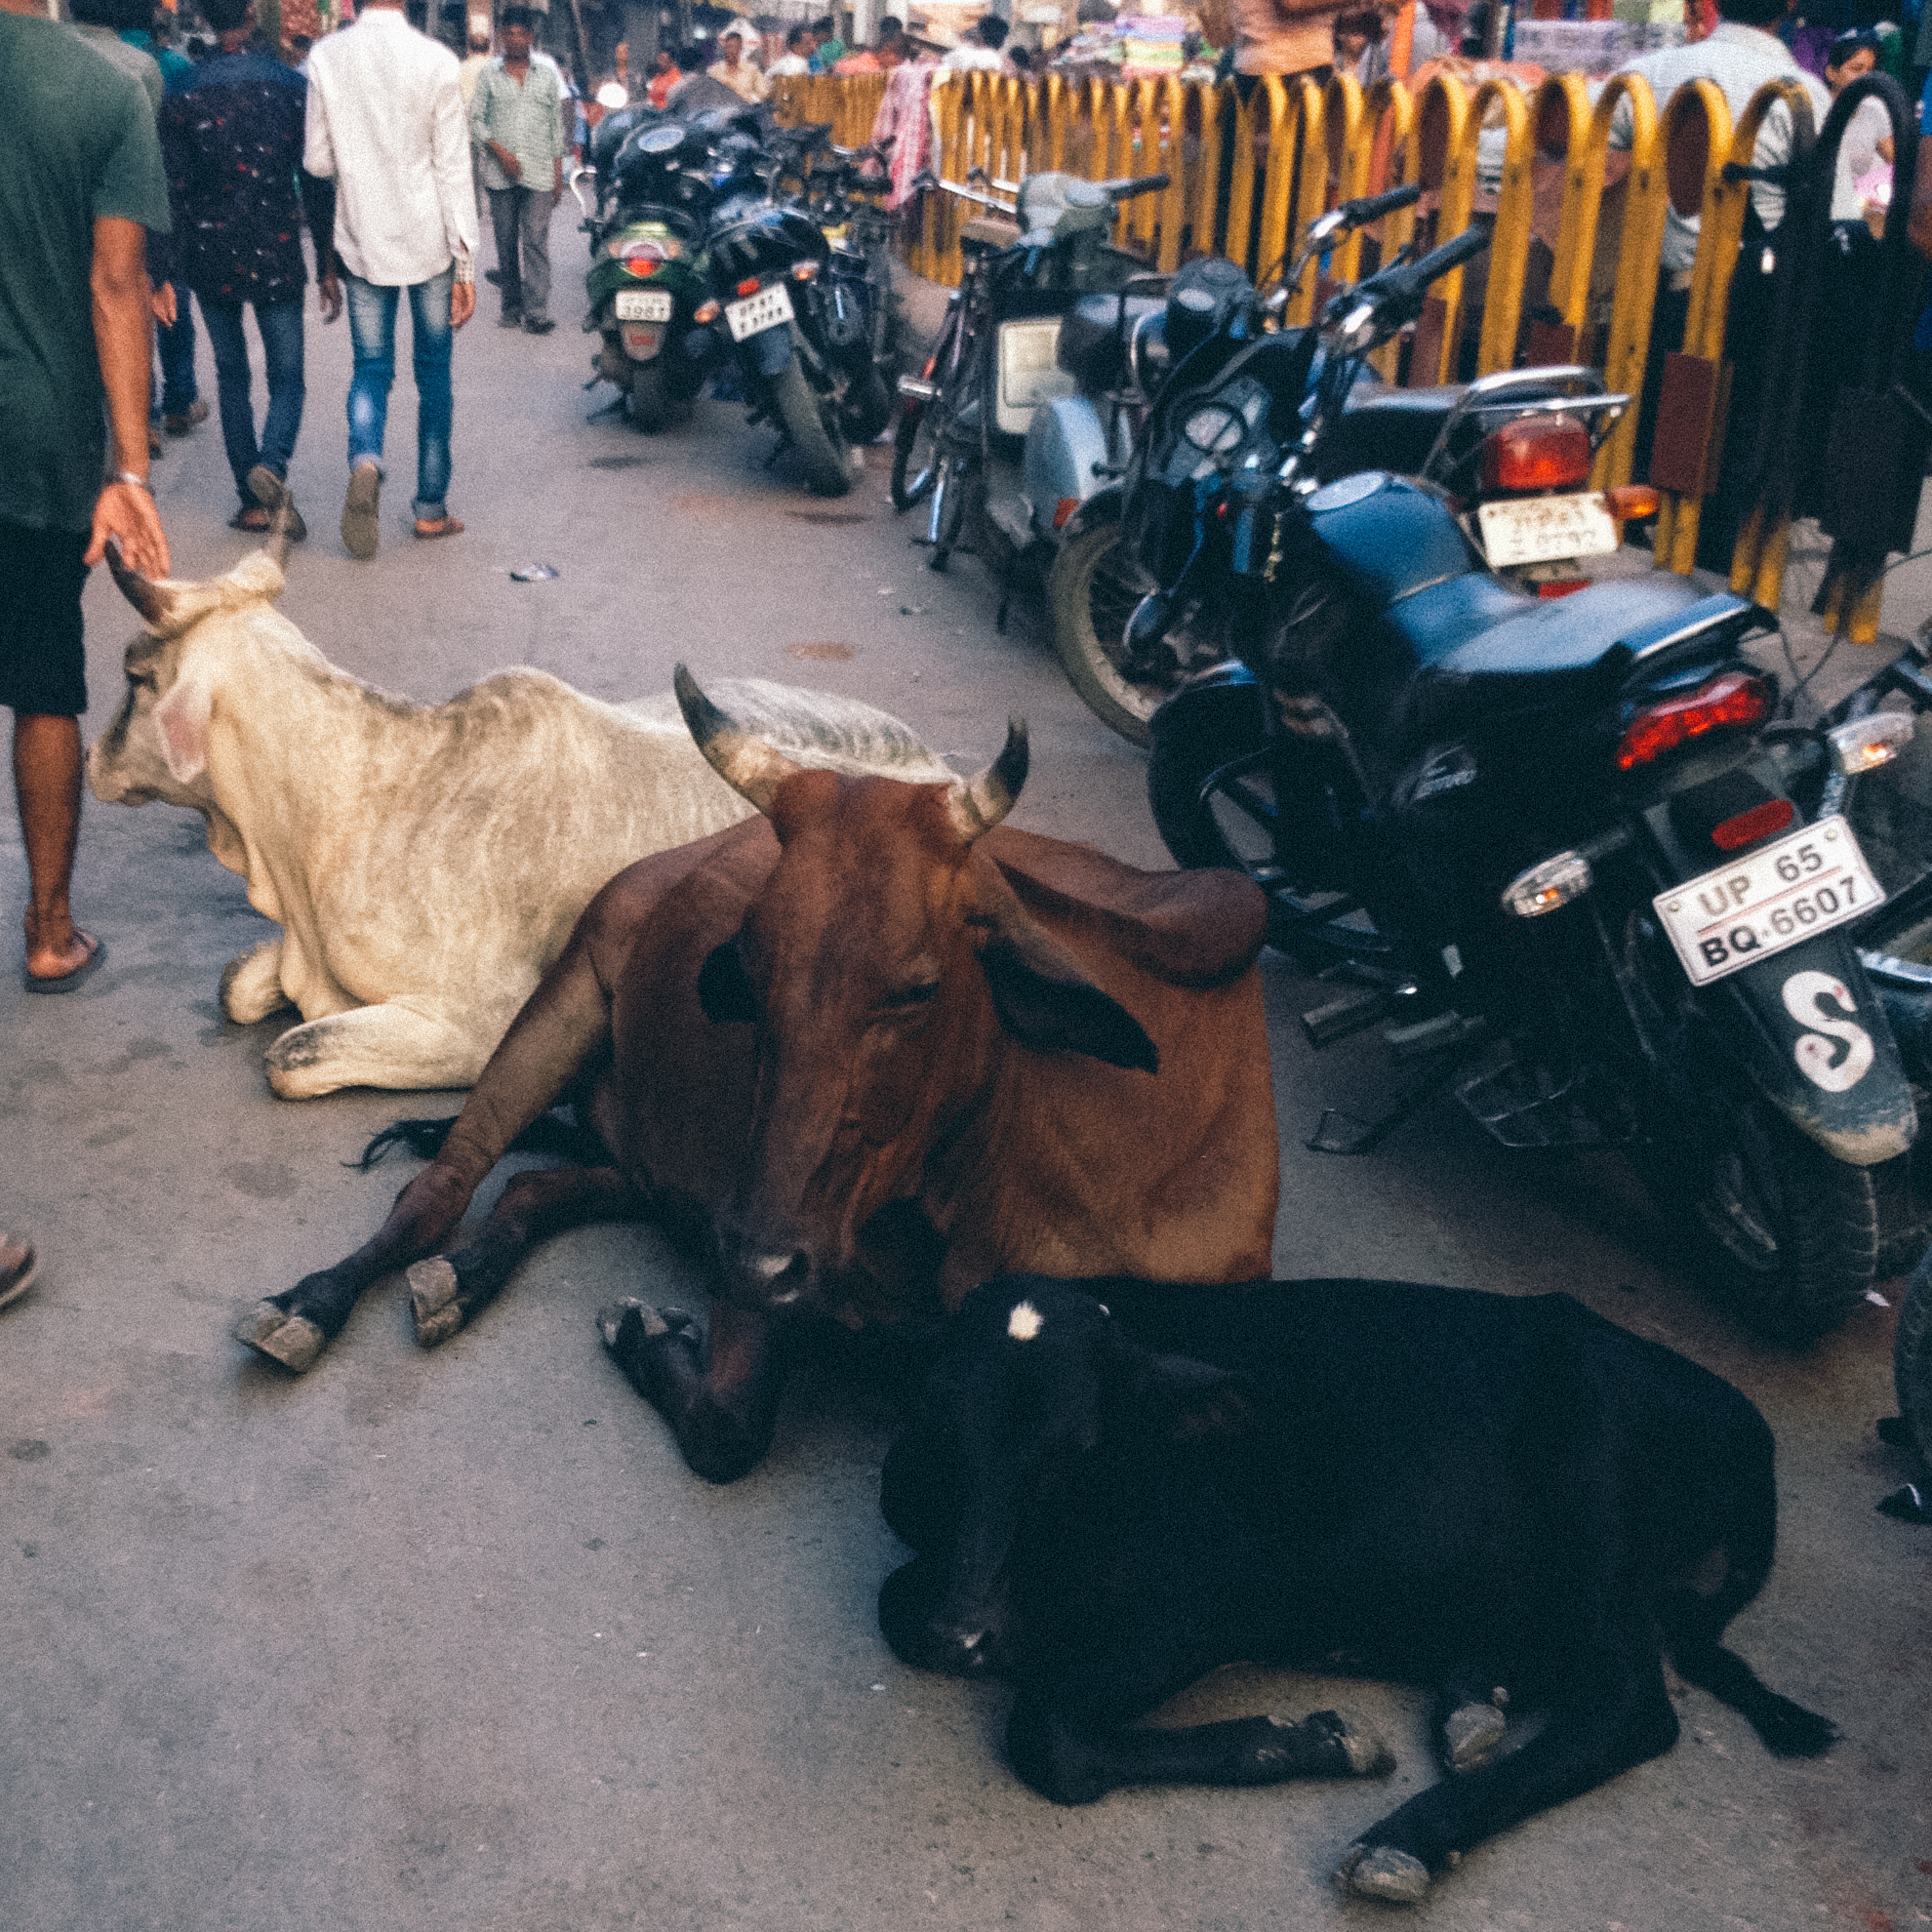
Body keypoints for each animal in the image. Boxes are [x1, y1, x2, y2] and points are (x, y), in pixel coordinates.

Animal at [91, 537, 950, 1105]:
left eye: (135, 674)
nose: (95, 758)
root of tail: (940, 768)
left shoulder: (476, 1028)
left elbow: (291, 1053)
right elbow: (237, 986)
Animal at [245, 672, 1282, 1468]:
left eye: (919, 986)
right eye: (748, 966)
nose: (749, 1255)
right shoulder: (774, 1251)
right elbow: (727, 1428)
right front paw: (646, 1334)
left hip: (650, 1166)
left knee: (533, 1191)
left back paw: (470, 1274)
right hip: (568, 997)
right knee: (442, 1186)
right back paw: (314, 1303)